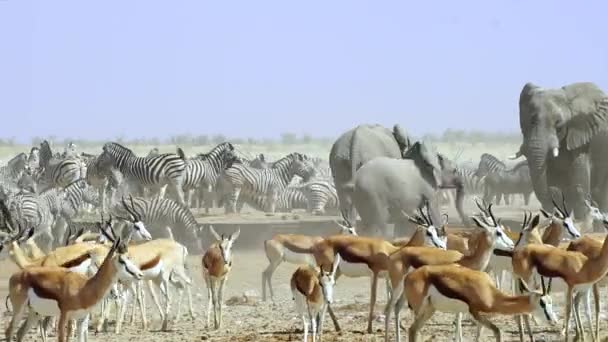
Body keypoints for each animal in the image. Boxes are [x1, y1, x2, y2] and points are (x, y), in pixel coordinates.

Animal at [512, 81, 608, 218]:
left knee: (601, 191)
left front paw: (581, 218)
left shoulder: (581, 137)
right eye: (530, 121)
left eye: (559, 125)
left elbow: (580, 178)